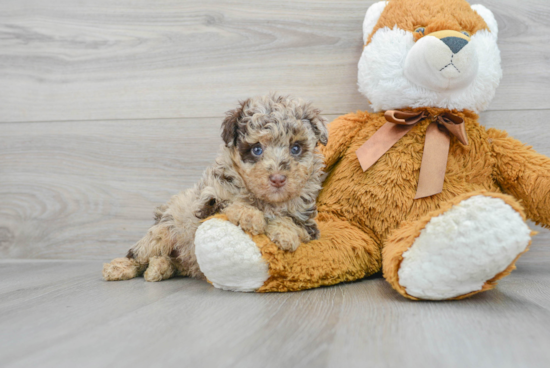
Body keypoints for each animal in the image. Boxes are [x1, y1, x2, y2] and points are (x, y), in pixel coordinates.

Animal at [102, 94, 328, 282]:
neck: (265, 200)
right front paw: (250, 216)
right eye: (256, 149)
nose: (278, 179)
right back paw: (118, 268)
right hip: (165, 229)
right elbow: (232, 202)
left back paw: (159, 268)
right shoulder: (207, 203)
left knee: (167, 261)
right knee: (140, 253)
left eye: (295, 148)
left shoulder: (307, 222)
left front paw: (285, 234)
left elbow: (292, 223)